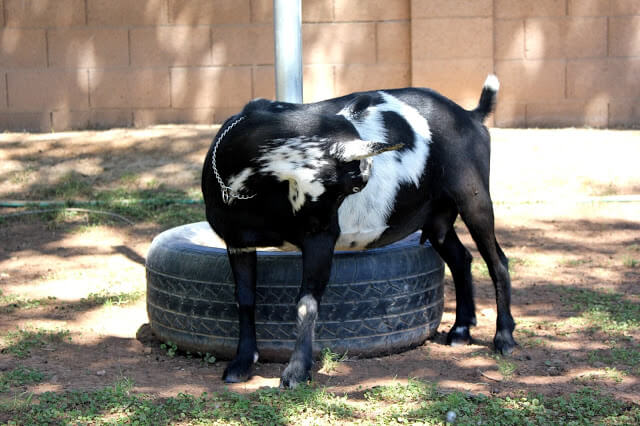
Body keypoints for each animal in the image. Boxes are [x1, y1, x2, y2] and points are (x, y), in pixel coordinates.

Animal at [200, 75, 516, 388]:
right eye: (351, 184)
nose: (330, 224)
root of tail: (470, 116)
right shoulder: (238, 242)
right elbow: (244, 299)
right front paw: (241, 363)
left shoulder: (318, 242)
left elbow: (306, 304)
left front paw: (297, 371)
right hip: (437, 219)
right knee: (461, 258)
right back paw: (461, 329)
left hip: (473, 197)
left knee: (497, 262)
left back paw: (504, 337)